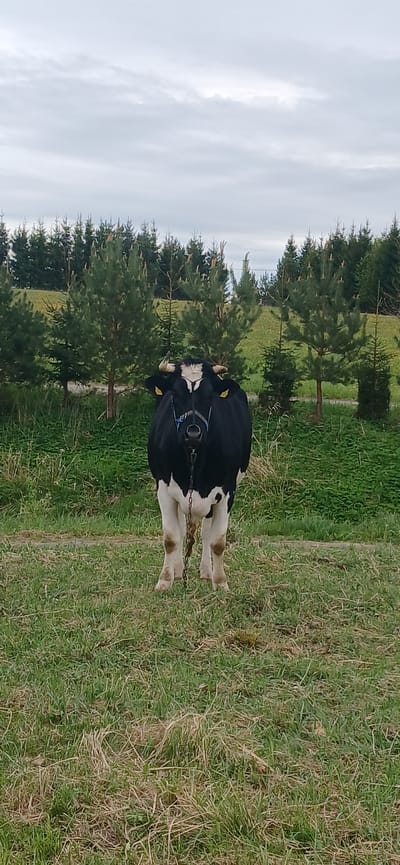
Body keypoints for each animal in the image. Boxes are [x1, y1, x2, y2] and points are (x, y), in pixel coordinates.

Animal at [145, 358, 252, 591]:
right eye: (174, 395)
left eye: (210, 396)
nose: (193, 433)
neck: (194, 456)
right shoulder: (164, 488)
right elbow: (171, 538)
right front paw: (164, 580)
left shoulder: (227, 491)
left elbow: (218, 541)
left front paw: (220, 582)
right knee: (182, 529)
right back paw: (178, 571)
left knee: (205, 534)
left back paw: (205, 572)